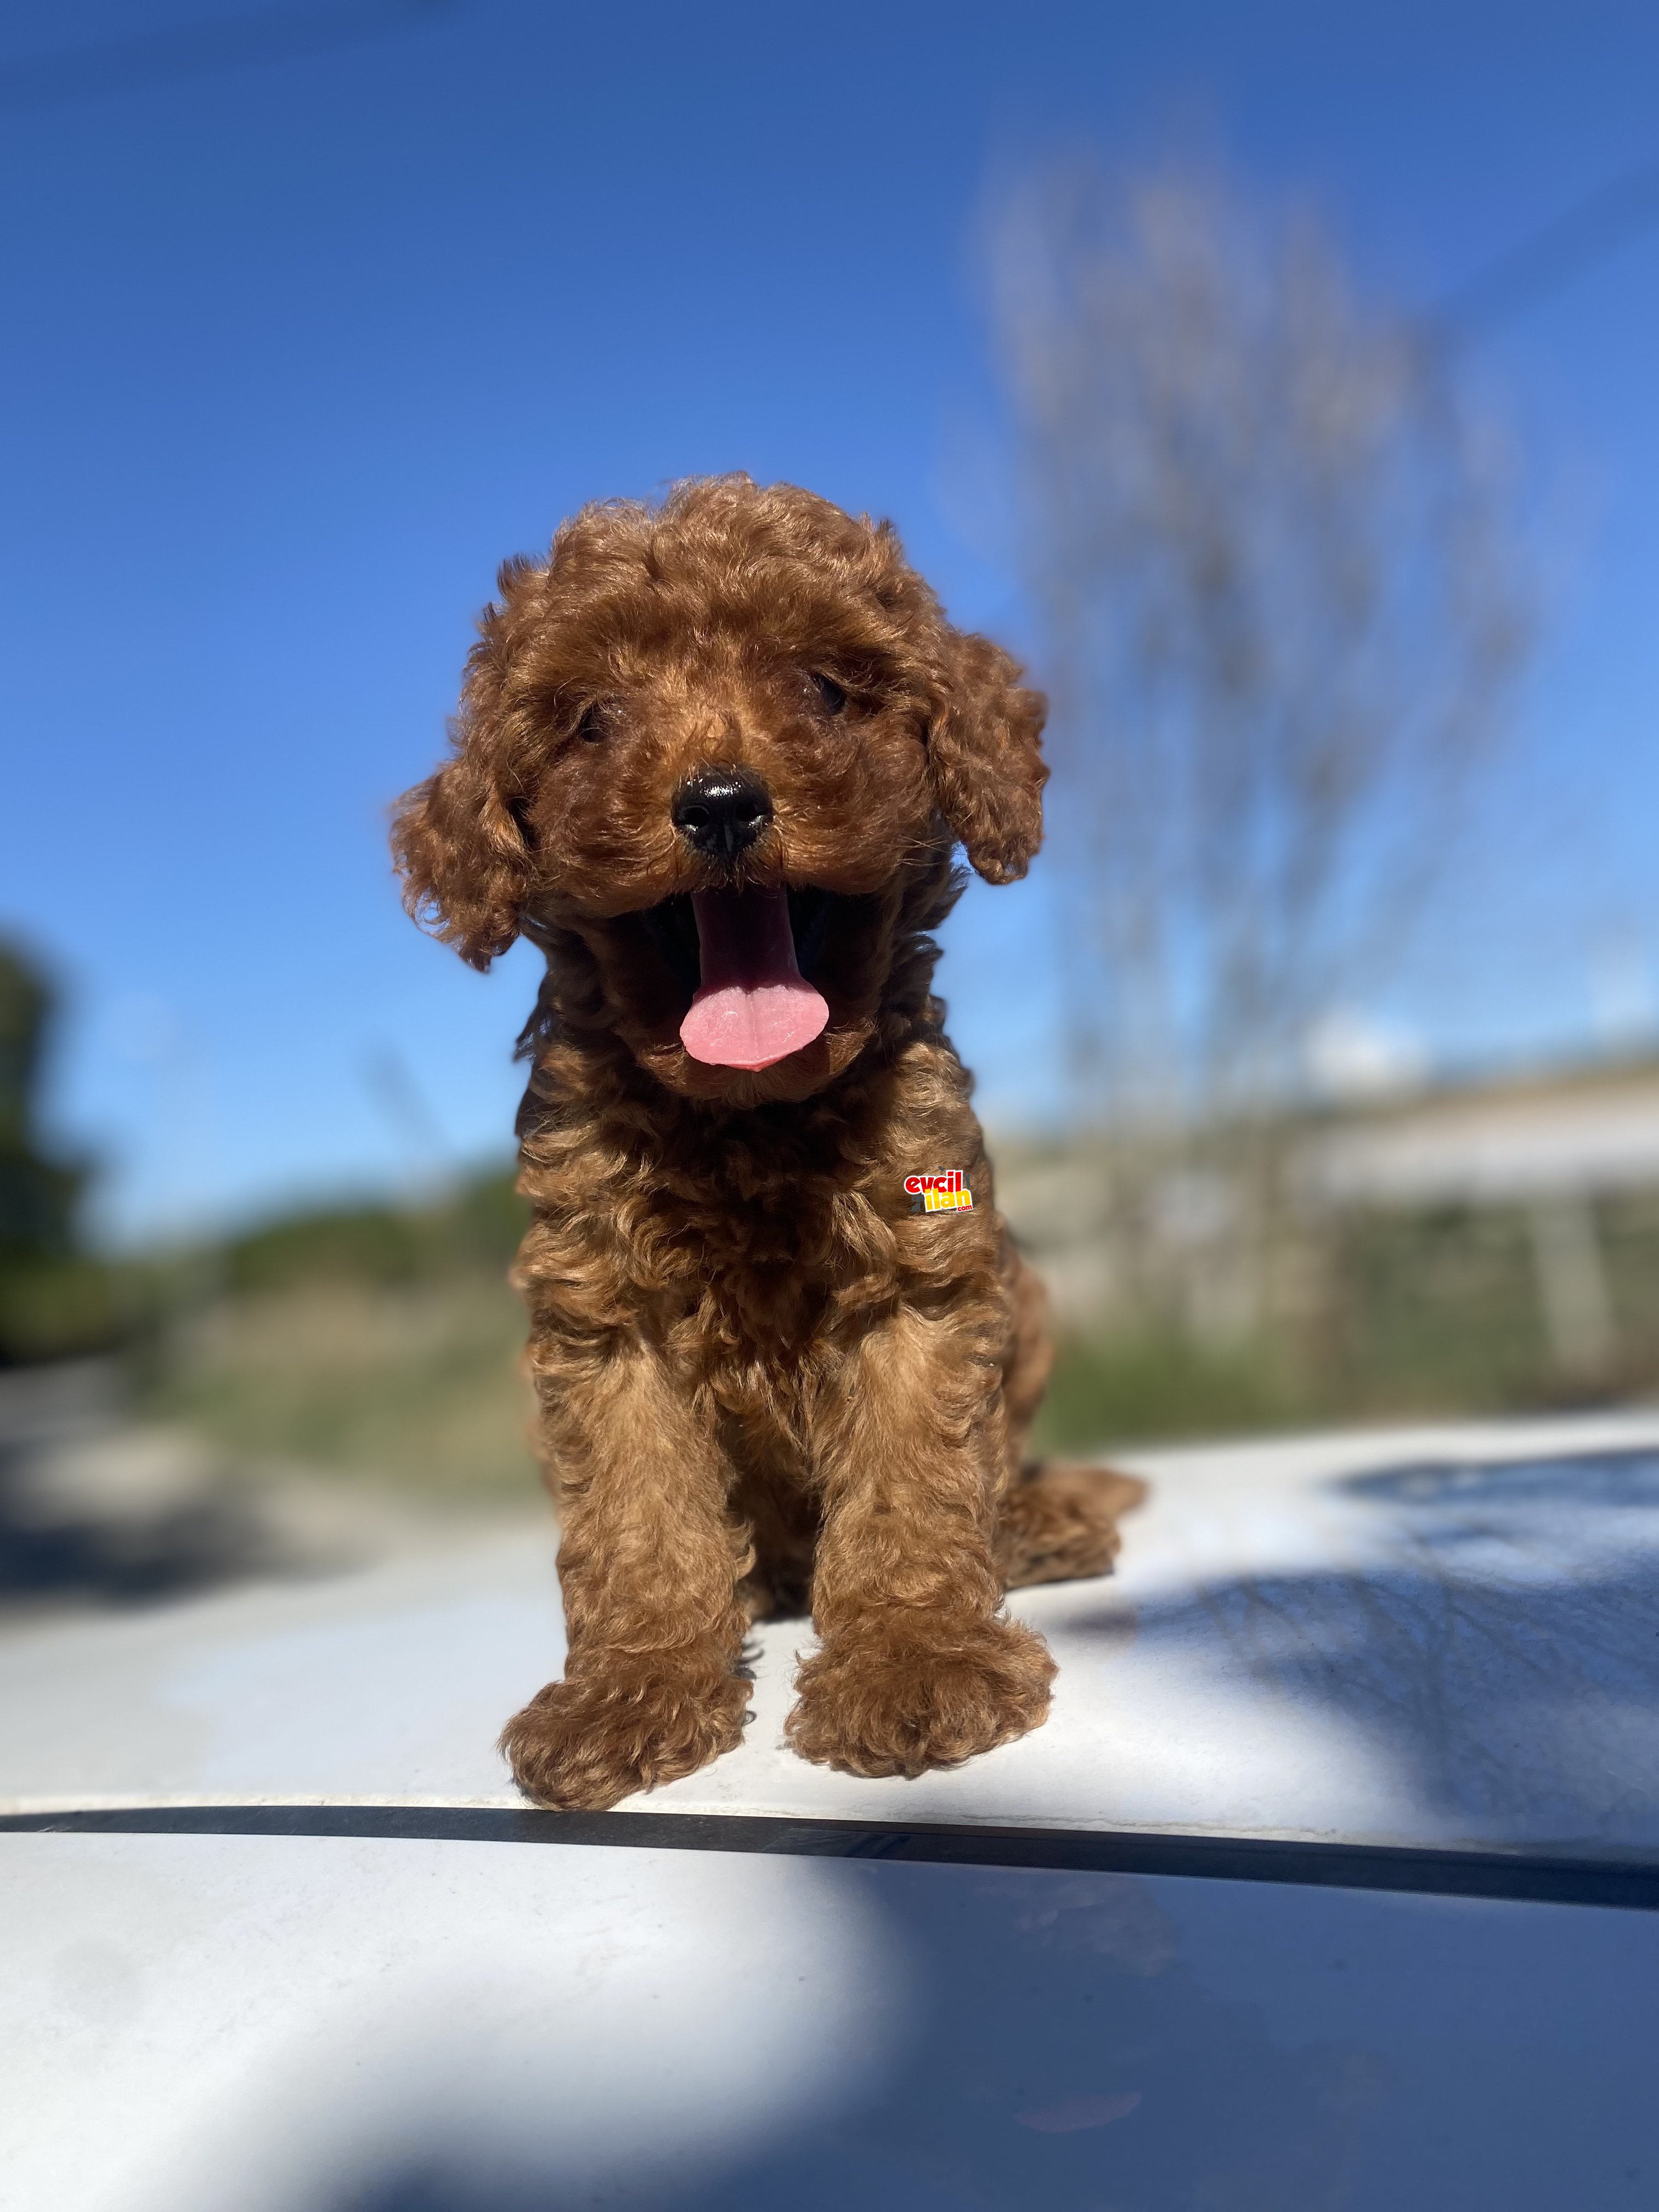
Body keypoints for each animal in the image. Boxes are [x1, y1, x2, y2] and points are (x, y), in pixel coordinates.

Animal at [393, 475, 1141, 1805]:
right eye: (592, 721)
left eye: (825, 690)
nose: (721, 803)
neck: (749, 1113)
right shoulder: (603, 1314)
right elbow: (634, 1511)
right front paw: (632, 1689)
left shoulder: (918, 1274)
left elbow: (915, 1478)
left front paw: (915, 1663)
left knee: (1003, 1472)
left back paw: (1038, 1525)